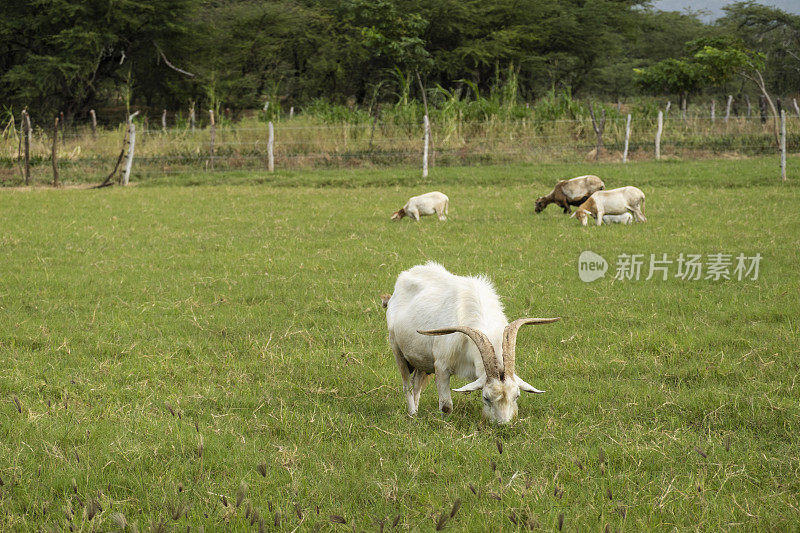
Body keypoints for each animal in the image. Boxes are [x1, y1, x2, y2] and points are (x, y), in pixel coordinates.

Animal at [384, 262, 560, 424]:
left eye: (516, 396)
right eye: (486, 397)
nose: (503, 425)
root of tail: (406, 275)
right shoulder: (441, 366)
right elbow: (446, 405)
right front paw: (445, 425)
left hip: (422, 361)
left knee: (416, 384)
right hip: (397, 349)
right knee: (406, 385)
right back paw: (412, 414)